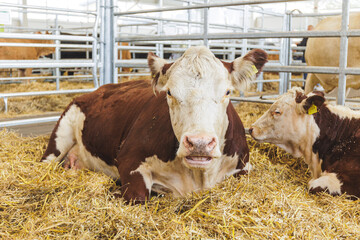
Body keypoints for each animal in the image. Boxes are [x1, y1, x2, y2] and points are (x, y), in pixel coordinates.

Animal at [41, 45, 268, 202]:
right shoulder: (129, 159)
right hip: (60, 135)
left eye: (227, 92)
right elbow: (138, 196)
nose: (199, 143)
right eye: (169, 92)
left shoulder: (245, 165)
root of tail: (99, 89)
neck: (198, 175)